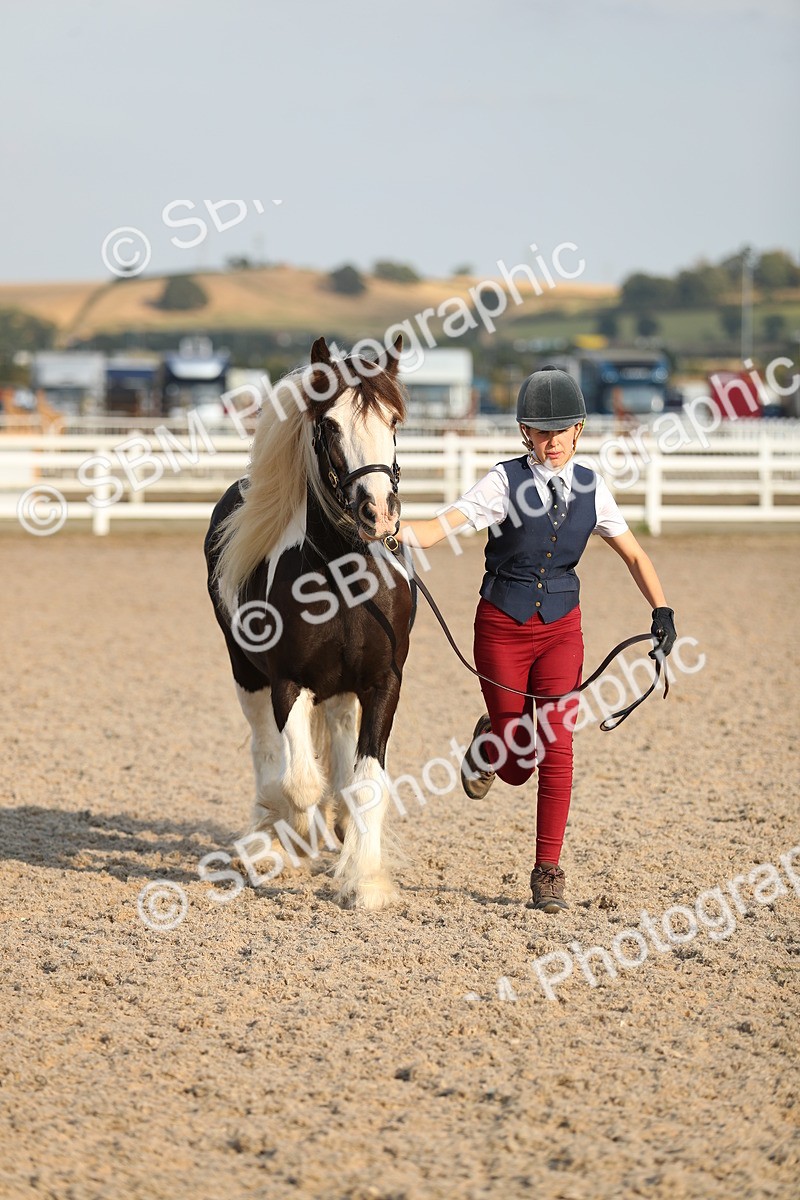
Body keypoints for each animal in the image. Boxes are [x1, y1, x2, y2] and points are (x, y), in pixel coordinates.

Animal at [204, 334, 412, 909]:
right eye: (330, 426)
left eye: (393, 421)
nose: (378, 513)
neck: (345, 581)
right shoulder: (286, 683)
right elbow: (297, 782)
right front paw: (291, 840)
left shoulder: (383, 684)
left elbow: (365, 782)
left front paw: (364, 880)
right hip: (246, 674)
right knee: (267, 752)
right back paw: (267, 839)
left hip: (340, 689)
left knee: (337, 740)